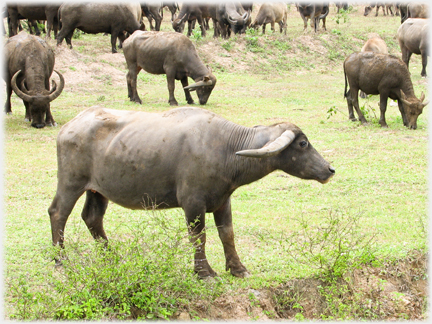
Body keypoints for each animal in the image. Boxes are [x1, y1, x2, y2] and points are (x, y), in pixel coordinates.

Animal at [48, 106, 338, 278]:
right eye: (303, 143)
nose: (329, 169)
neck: (226, 149)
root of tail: (68, 126)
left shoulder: (223, 202)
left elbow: (227, 235)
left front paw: (237, 268)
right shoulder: (193, 204)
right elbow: (199, 238)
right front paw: (204, 272)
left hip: (98, 190)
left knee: (92, 218)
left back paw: (112, 257)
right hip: (71, 182)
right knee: (58, 212)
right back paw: (60, 260)